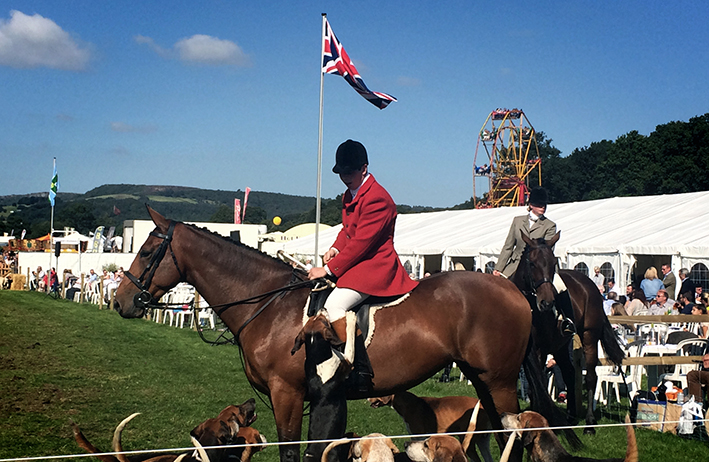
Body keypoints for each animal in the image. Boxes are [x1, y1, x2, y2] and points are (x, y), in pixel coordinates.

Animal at [115, 208, 552, 462]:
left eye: (147, 252)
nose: (121, 301)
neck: (271, 304)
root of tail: (513, 290)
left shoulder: (287, 395)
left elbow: (292, 452)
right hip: (482, 381)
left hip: (500, 381)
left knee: (514, 437)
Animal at [508, 233, 624, 432]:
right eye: (532, 264)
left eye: (553, 263)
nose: (547, 303)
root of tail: (589, 283)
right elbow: (532, 385)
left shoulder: (540, 349)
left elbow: (539, 385)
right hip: (560, 345)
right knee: (569, 373)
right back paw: (570, 416)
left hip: (588, 337)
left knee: (591, 376)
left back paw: (589, 423)